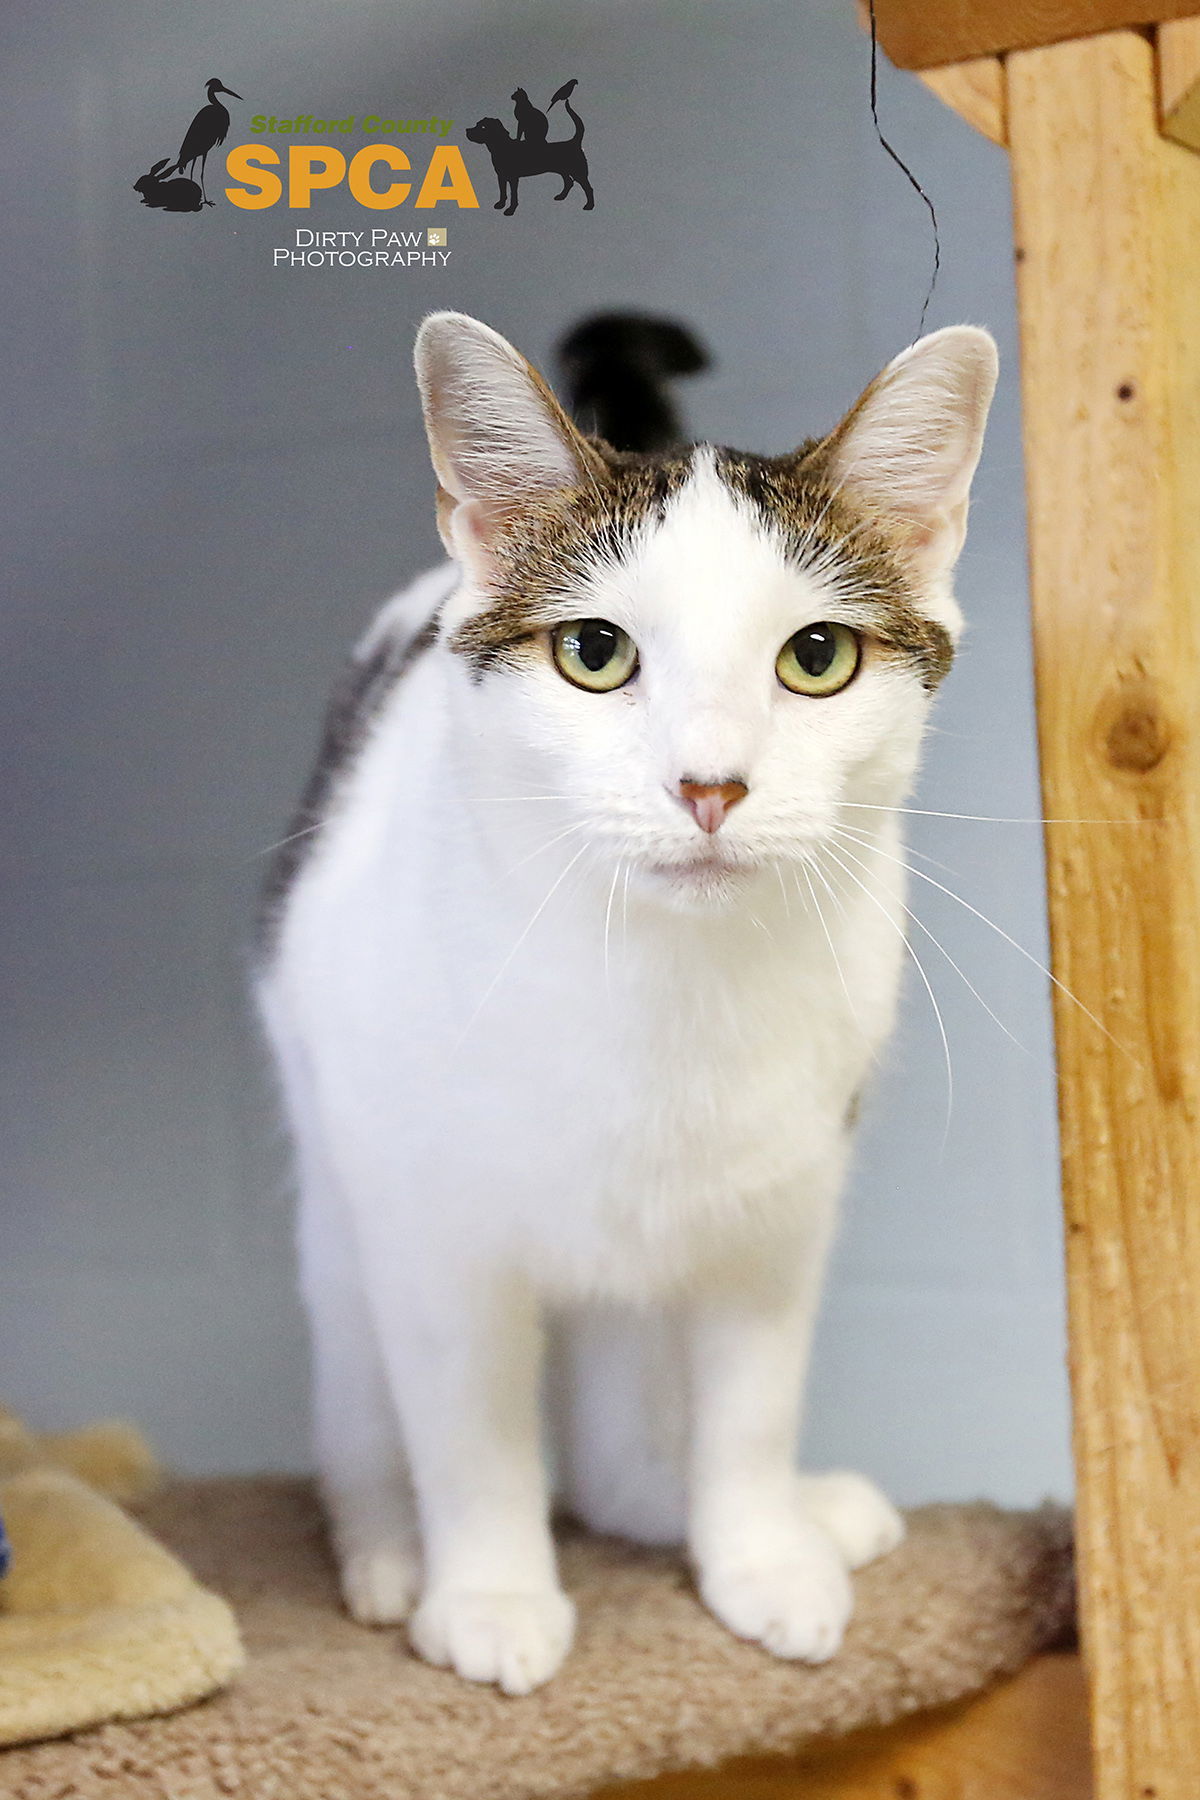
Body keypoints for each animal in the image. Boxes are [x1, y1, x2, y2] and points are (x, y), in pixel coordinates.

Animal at [259, 302, 1000, 1692]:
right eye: (595, 654)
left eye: (816, 657)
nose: (710, 784)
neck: (663, 989)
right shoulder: (434, 1227)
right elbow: (471, 1429)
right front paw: (490, 1590)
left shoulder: (785, 1202)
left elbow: (752, 1400)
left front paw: (757, 1554)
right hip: (336, 1166)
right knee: (356, 1369)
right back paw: (385, 1548)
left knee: (622, 1427)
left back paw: (709, 1504)